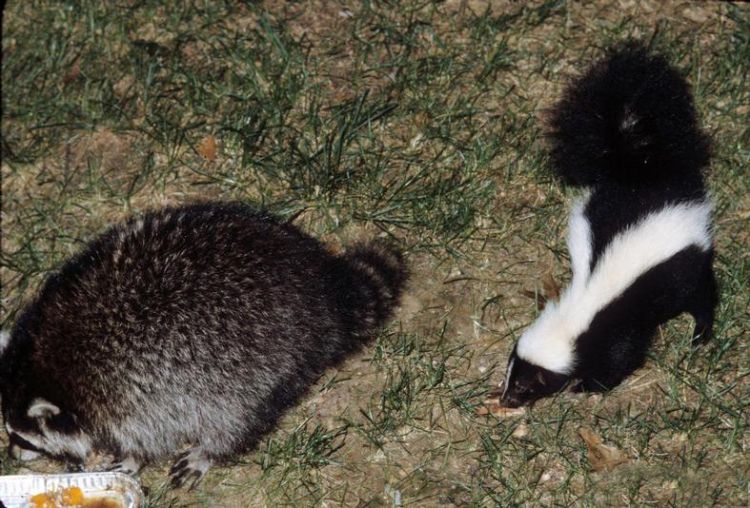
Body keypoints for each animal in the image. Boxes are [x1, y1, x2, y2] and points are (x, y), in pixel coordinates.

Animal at [0, 201, 408, 488]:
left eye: (26, 439)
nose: (12, 456)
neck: (52, 360)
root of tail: (323, 288)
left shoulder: (132, 392)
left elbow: (150, 435)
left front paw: (134, 458)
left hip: (263, 363)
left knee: (239, 415)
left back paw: (210, 449)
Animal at [502, 44, 720, 408]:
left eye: (525, 386)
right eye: (509, 376)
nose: (505, 399)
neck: (581, 307)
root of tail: (640, 170)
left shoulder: (617, 329)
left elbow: (621, 359)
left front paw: (586, 386)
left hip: (687, 262)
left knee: (703, 294)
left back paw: (701, 334)